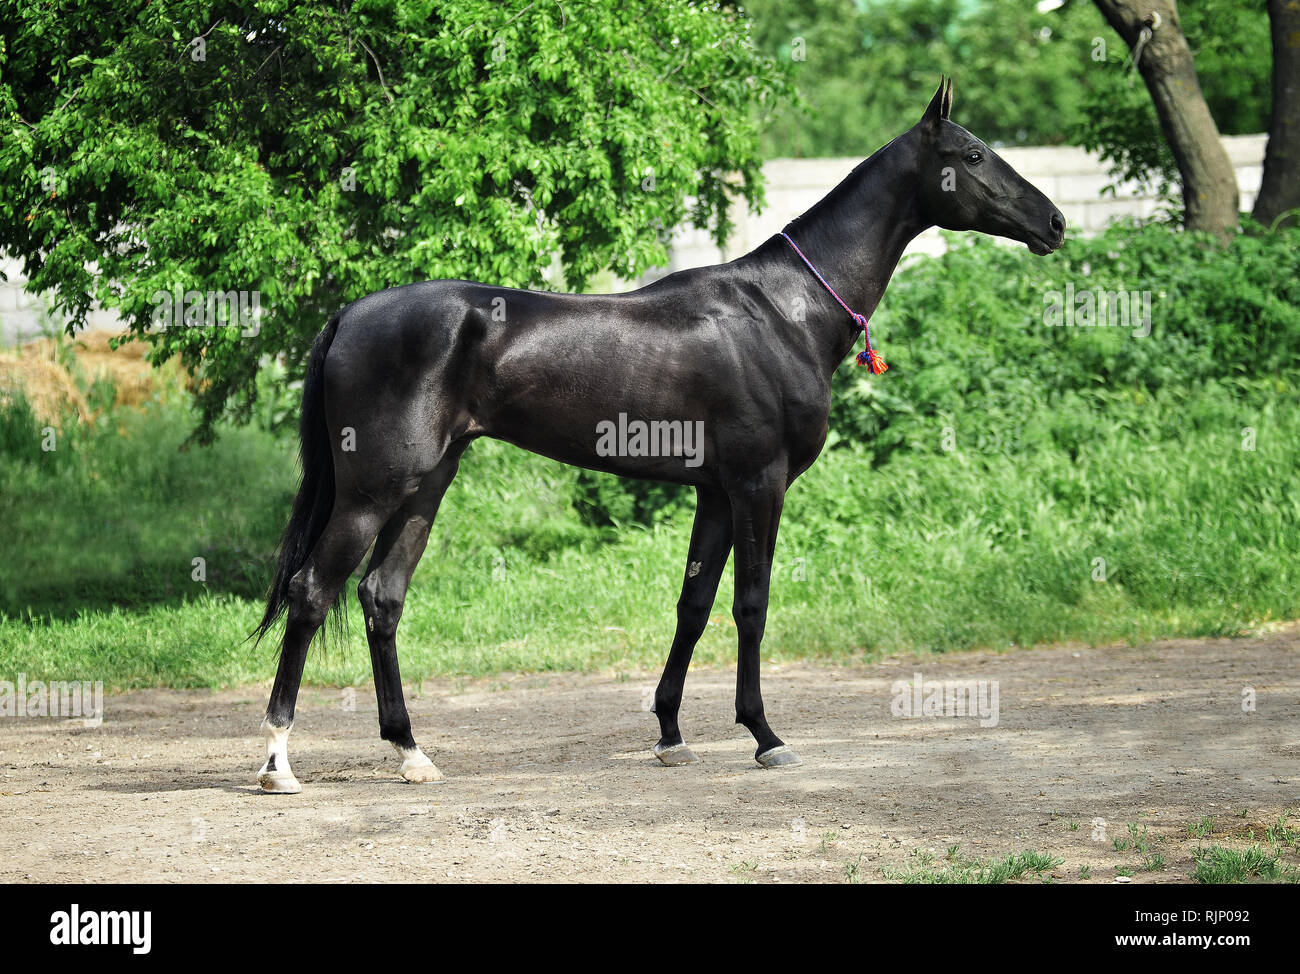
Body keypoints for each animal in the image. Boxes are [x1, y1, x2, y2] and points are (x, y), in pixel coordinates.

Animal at [253, 78, 1066, 790]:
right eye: (972, 155)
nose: (1055, 223)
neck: (785, 312)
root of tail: (350, 314)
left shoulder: (715, 493)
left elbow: (694, 606)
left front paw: (672, 734)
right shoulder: (759, 484)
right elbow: (750, 605)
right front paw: (765, 736)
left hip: (427, 485)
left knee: (381, 597)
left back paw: (411, 753)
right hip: (372, 490)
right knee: (312, 592)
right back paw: (278, 762)